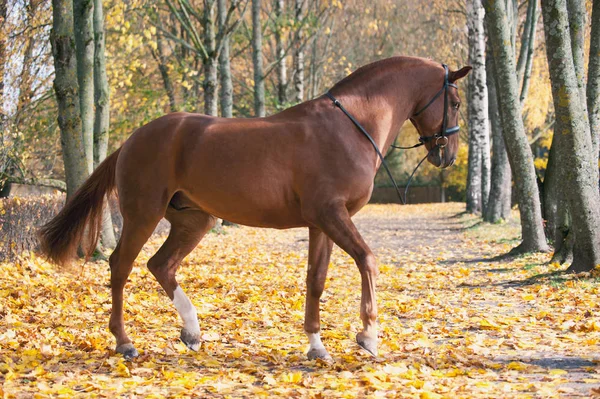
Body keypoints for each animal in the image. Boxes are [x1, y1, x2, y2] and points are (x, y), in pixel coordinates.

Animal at [37, 56, 472, 362]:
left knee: (161, 265)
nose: (447, 155)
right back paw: (125, 342)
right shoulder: (332, 215)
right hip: (143, 214)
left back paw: (192, 332)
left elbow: (316, 280)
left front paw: (316, 346)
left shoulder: (321, 223)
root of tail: (132, 140)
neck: (350, 126)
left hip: (194, 220)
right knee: (121, 266)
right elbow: (368, 260)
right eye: (454, 101)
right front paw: (368, 336)